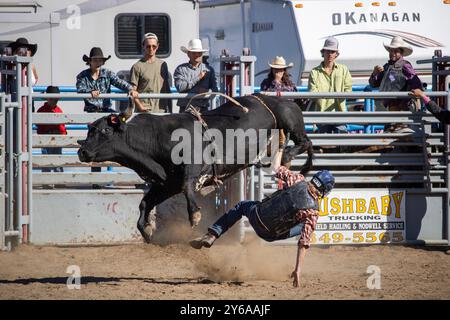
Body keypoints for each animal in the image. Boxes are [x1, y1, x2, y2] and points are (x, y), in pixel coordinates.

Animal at [77, 94, 314, 244]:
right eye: (90, 130)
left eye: (105, 130)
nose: (82, 151)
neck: (156, 139)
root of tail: (282, 99)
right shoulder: (167, 183)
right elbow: (146, 202)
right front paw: (146, 229)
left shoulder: (194, 169)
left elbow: (187, 187)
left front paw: (195, 216)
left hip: (289, 120)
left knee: (306, 141)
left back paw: (289, 156)